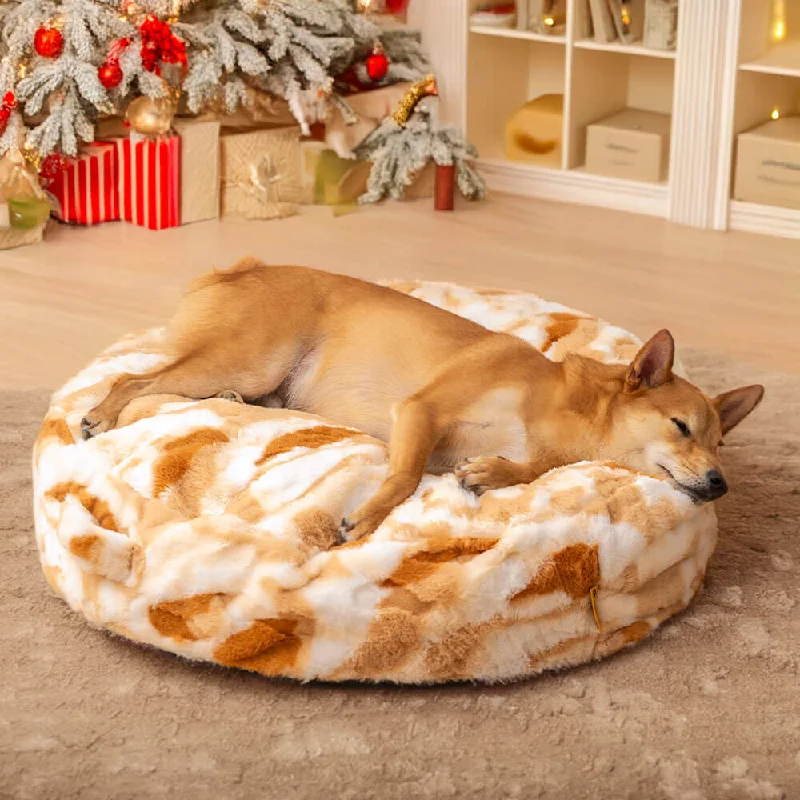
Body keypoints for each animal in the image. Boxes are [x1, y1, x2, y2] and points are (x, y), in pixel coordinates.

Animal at [79, 262, 764, 544]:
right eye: (681, 428)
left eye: (720, 445)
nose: (720, 483)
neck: (565, 414)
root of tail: (236, 270)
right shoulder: (421, 413)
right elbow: (407, 475)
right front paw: (369, 516)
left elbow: (522, 468)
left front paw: (492, 472)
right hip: (250, 356)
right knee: (134, 382)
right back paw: (103, 415)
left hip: (253, 377)